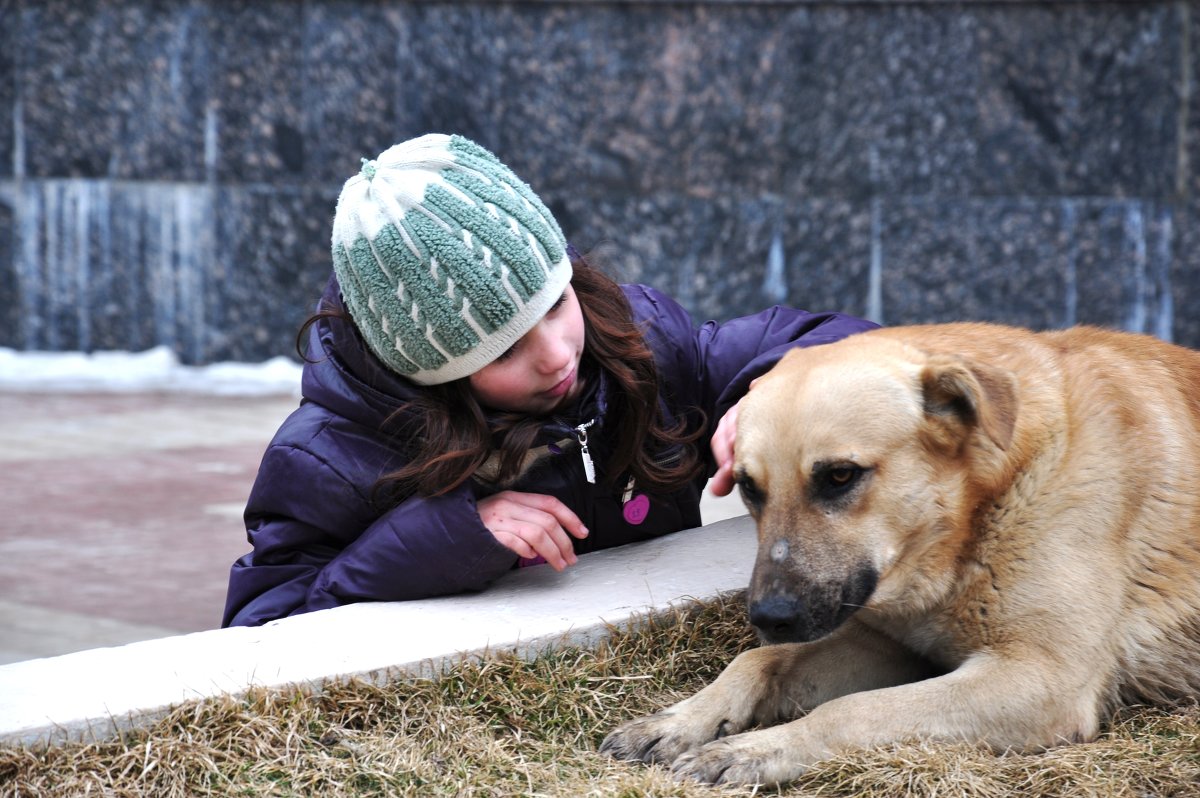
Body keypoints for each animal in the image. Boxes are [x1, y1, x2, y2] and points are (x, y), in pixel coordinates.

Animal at [604, 321, 1200, 782]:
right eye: (750, 487)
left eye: (839, 476)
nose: (769, 618)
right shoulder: (892, 644)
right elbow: (759, 660)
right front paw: (683, 720)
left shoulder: (1040, 681)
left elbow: (850, 711)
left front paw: (759, 748)